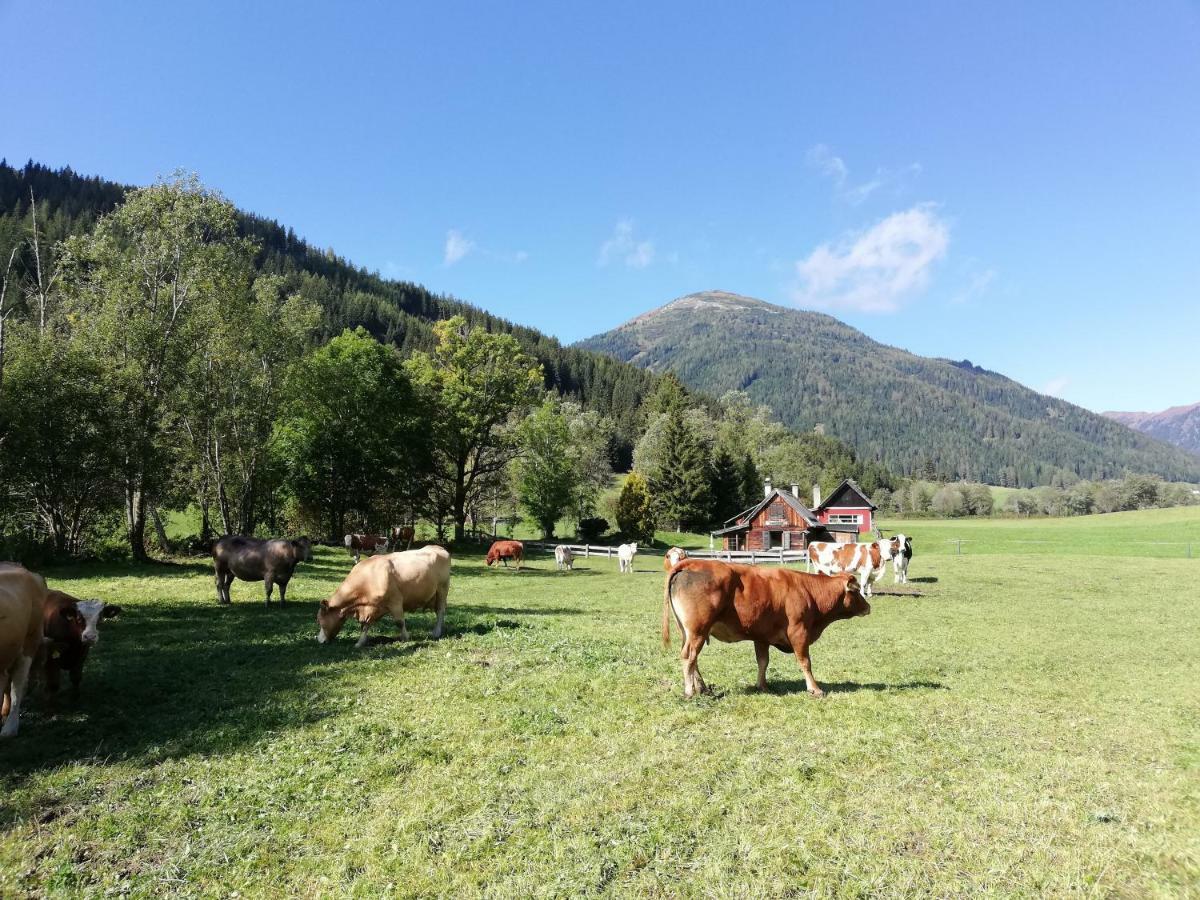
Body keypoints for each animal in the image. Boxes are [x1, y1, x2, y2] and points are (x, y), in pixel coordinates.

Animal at [316, 542, 451, 648]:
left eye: (320, 620)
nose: (318, 640)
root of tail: (437, 547)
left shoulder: (395, 600)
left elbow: (399, 622)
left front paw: (406, 638)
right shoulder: (371, 607)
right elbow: (365, 625)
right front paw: (360, 643)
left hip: (442, 589)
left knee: (440, 611)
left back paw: (436, 632)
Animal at [662, 561, 868, 700]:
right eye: (857, 590)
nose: (868, 607)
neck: (808, 591)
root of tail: (694, 563)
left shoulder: (761, 637)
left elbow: (763, 662)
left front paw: (762, 686)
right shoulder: (799, 632)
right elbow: (805, 662)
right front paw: (815, 689)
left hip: (690, 632)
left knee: (693, 659)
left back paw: (702, 688)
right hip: (698, 630)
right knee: (689, 657)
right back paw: (690, 691)